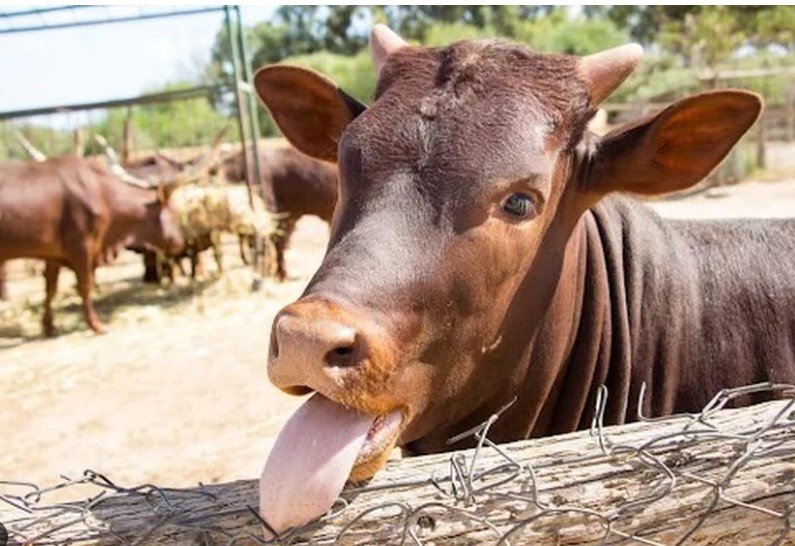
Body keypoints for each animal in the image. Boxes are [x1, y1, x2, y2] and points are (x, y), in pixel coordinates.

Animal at [0, 157, 184, 336]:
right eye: (173, 213)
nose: (180, 241)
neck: (102, 194)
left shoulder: (53, 255)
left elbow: (50, 289)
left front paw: (49, 326)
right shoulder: (81, 248)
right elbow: (85, 286)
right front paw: (95, 325)